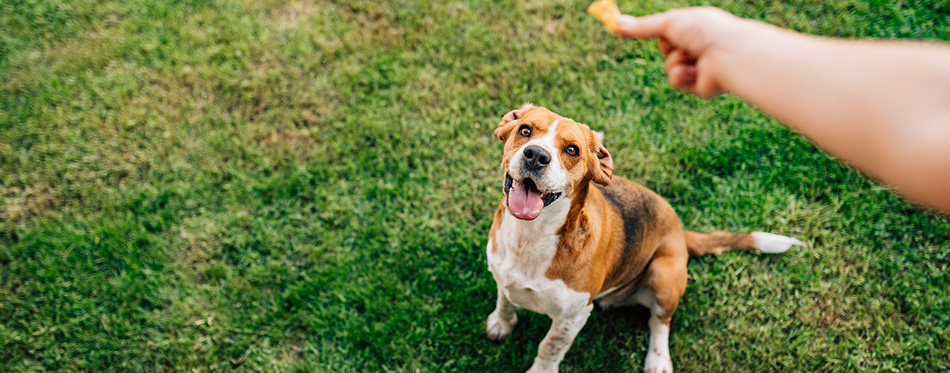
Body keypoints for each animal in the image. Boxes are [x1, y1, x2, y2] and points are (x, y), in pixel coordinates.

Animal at [484, 104, 804, 372]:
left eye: (572, 150)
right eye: (525, 131)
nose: (536, 155)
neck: (530, 236)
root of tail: (680, 231)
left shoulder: (572, 318)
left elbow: (548, 348)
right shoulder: (501, 274)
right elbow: (504, 300)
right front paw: (501, 323)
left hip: (664, 275)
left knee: (660, 322)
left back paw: (658, 361)